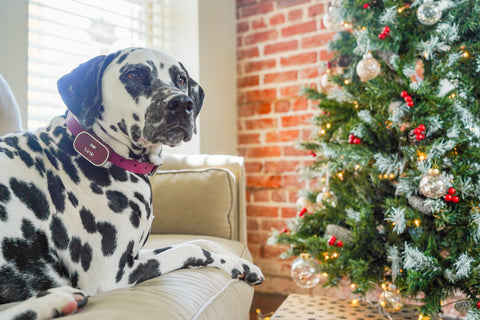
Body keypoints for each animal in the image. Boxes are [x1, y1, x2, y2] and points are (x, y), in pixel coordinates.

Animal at [0, 48, 262, 320]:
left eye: (181, 79)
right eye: (133, 74)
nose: (182, 104)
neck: (100, 151)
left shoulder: (134, 255)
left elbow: (198, 242)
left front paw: (241, 264)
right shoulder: (114, 274)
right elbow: (192, 249)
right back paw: (56, 300)